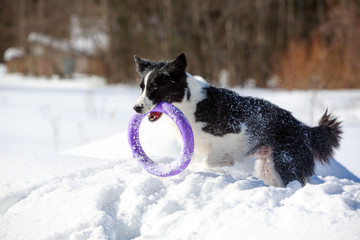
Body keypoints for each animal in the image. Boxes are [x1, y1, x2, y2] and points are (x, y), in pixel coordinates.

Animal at [132, 53, 340, 187]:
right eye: (142, 87)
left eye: (155, 87)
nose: (136, 108)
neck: (189, 103)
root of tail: (305, 129)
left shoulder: (236, 133)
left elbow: (211, 159)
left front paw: (226, 164)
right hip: (268, 166)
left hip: (284, 163)